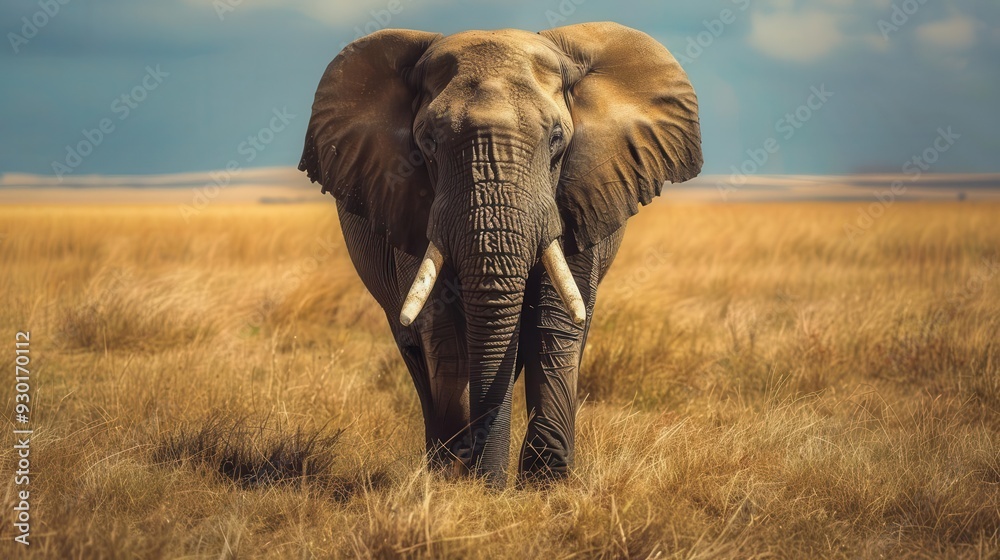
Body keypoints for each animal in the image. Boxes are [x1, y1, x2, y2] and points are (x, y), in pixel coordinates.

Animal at [299, 22, 702, 486]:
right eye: (428, 142)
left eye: (557, 140)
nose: (490, 484)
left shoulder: (580, 194)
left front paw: (545, 483)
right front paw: (457, 481)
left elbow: (556, 321)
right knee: (416, 350)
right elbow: (444, 331)